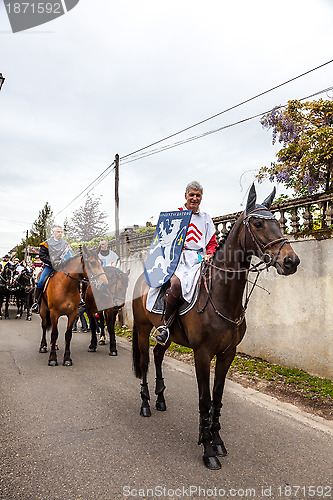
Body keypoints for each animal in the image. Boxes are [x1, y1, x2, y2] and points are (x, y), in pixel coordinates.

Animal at [131, 186, 300, 470]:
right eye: (258, 223)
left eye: (278, 221)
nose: (291, 261)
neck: (222, 296)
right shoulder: (202, 353)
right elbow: (204, 400)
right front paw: (207, 449)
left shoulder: (227, 354)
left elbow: (218, 397)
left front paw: (217, 441)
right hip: (143, 329)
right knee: (144, 363)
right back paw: (145, 404)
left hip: (167, 335)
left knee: (157, 355)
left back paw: (161, 399)